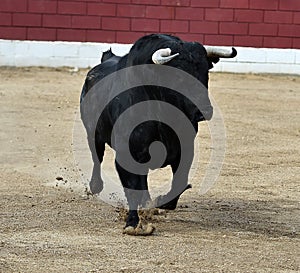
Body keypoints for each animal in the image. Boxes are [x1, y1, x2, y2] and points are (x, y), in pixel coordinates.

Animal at [80, 33, 237, 231]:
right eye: (177, 76)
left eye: (205, 73)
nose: (204, 112)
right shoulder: (125, 155)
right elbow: (132, 187)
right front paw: (133, 223)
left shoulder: (185, 150)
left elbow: (179, 182)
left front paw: (161, 202)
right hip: (93, 133)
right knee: (97, 157)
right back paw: (96, 186)